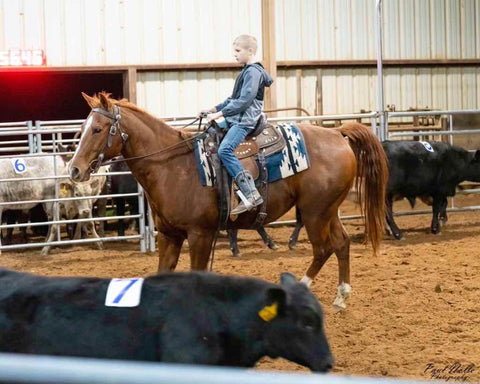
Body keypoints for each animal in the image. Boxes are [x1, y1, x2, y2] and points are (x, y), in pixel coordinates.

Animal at [69, 93, 388, 308]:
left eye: (97, 129)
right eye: (81, 129)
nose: (74, 169)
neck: (174, 165)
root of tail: (336, 133)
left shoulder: (200, 234)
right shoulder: (170, 236)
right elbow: (162, 272)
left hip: (315, 212)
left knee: (324, 248)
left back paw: (301, 289)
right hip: (328, 210)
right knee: (342, 243)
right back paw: (340, 297)